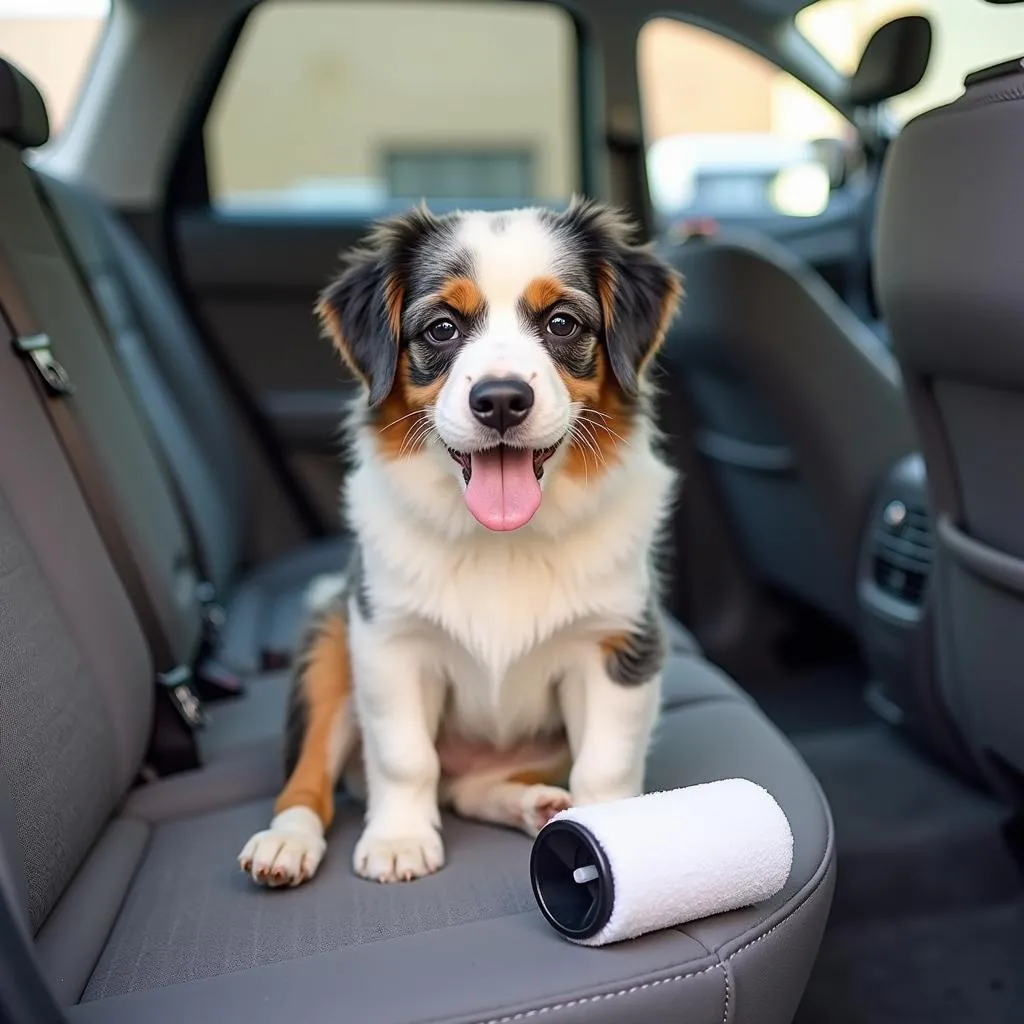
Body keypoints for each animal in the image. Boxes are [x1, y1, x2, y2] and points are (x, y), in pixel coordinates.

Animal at [239, 199, 684, 888]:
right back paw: (286, 842)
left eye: (561, 322)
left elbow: (604, 765)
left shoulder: (618, 644)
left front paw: (612, 834)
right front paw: (398, 839)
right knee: (312, 773)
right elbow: (404, 756)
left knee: (472, 789)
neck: (501, 543)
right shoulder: (389, 640)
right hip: (329, 642)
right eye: (442, 329)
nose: (500, 400)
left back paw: (536, 804)